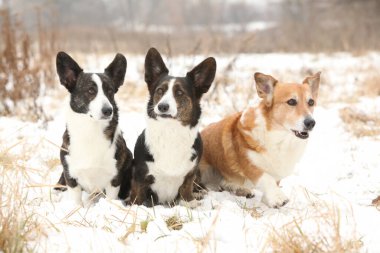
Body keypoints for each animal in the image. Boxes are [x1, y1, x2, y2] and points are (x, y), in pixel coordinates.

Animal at [54, 52, 133, 206]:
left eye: (110, 91)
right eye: (90, 91)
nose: (108, 110)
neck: (91, 129)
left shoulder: (114, 180)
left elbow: (110, 199)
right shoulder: (71, 177)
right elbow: (77, 201)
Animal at [128, 48, 215, 208]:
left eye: (179, 93)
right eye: (160, 91)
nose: (162, 106)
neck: (171, 131)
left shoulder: (190, 173)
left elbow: (186, 188)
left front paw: (189, 203)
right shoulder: (140, 175)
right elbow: (137, 194)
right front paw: (134, 206)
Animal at [199, 72, 320, 209]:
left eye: (311, 102)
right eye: (291, 101)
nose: (311, 123)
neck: (280, 138)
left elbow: (274, 182)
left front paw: (268, 201)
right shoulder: (250, 165)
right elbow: (266, 178)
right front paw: (278, 198)